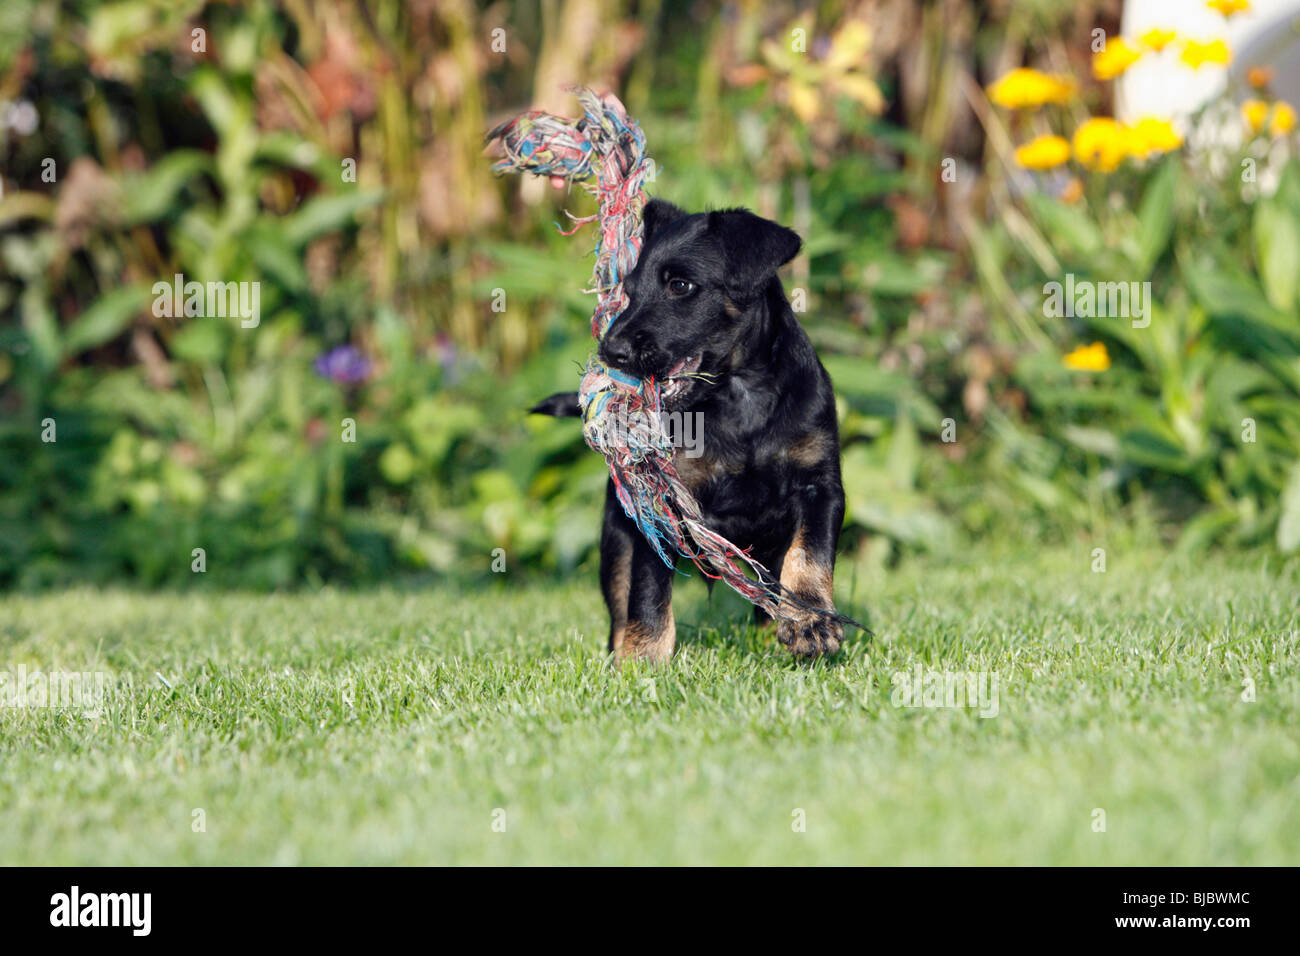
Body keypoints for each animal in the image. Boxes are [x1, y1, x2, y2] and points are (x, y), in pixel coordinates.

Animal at [533, 201, 847, 665]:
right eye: (630, 291)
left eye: (680, 285)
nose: (611, 352)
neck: (738, 397)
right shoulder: (660, 507)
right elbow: (648, 591)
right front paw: (643, 659)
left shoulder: (819, 486)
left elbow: (809, 556)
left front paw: (810, 621)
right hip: (616, 535)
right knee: (620, 600)